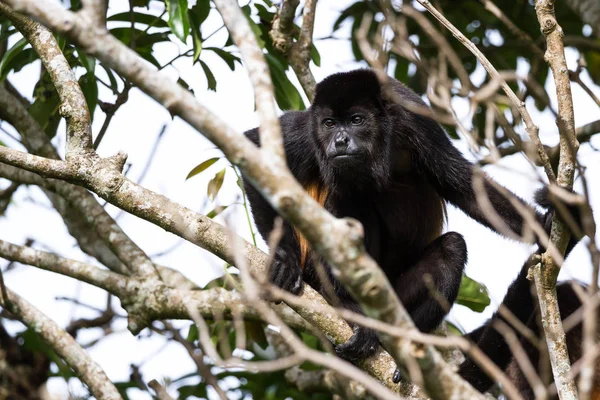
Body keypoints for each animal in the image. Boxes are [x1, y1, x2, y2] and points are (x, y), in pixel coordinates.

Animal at [243, 69, 576, 366]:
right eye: (329, 123)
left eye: (356, 120)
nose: (340, 141)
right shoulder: (307, 132)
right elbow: (254, 147)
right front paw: (285, 259)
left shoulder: (416, 122)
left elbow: (464, 185)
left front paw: (548, 224)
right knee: (346, 198)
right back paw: (351, 309)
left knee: (452, 248)